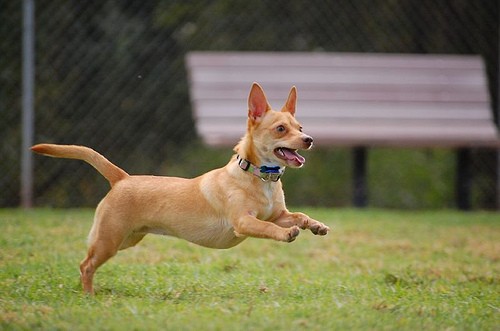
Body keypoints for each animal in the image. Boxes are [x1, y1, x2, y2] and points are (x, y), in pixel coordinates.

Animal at [31, 83, 328, 296]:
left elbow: (297, 216)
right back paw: (89, 295)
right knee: (86, 265)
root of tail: (122, 178)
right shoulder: (243, 222)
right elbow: (268, 228)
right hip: (110, 239)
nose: (309, 139)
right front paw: (286, 234)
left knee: (87, 261)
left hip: (126, 239)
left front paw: (314, 225)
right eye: (281, 129)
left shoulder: (277, 214)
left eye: (300, 127)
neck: (260, 178)